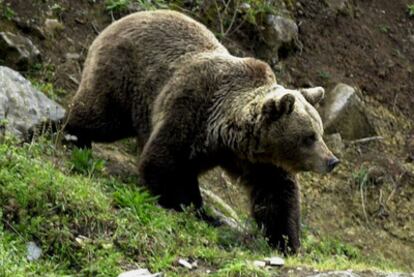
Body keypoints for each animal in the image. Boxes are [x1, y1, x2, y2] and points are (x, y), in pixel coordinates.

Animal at [66, 10, 340, 252]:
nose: (332, 161)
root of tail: (117, 22)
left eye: (320, 132)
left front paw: (286, 242)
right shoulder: (190, 110)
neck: (228, 135)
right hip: (126, 80)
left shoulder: (259, 161)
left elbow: (277, 195)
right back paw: (72, 136)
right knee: (101, 116)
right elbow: (164, 163)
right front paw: (183, 206)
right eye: (309, 137)